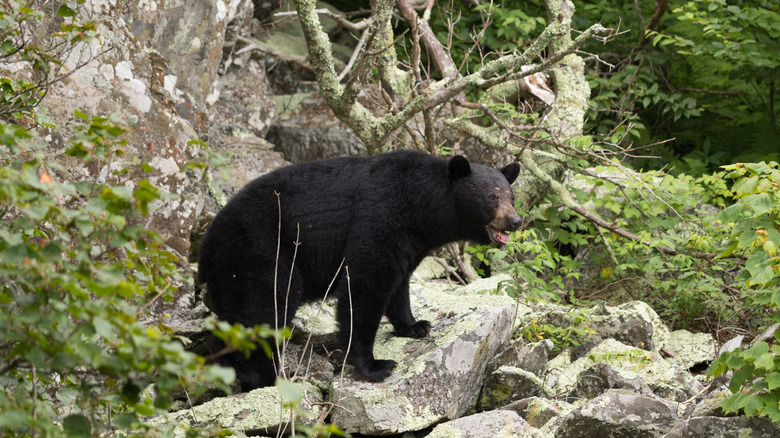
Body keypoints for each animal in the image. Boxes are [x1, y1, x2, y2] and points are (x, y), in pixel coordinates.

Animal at [198, 151, 520, 390]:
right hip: (261, 251)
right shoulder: (382, 214)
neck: (421, 204)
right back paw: (263, 374)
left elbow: (400, 283)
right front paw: (374, 365)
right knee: (267, 307)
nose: (515, 221)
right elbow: (366, 285)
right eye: (492, 196)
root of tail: (207, 242)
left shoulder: (411, 240)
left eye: (510, 195)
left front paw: (415, 325)